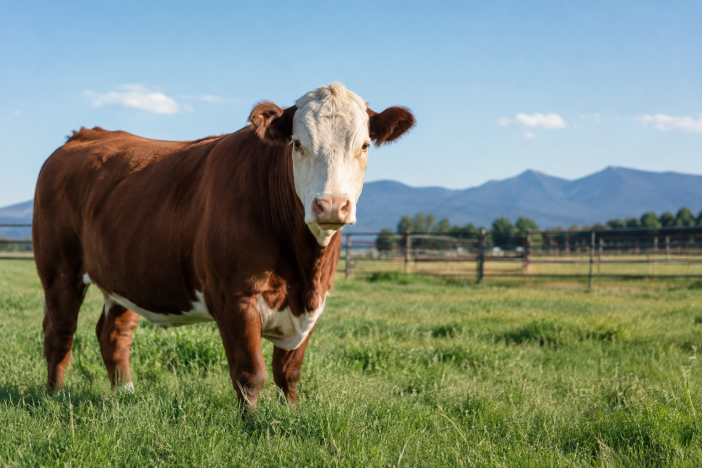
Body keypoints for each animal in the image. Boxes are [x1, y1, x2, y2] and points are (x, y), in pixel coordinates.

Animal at [33, 83, 415, 409]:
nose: (332, 205)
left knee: (113, 334)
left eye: (364, 145)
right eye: (297, 144)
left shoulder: (315, 301)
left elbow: (289, 374)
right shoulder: (234, 296)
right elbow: (251, 374)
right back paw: (54, 395)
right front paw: (253, 428)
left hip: (126, 274)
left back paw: (126, 394)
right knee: (59, 332)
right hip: (60, 269)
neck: (303, 270)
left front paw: (290, 416)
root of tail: (86, 133)